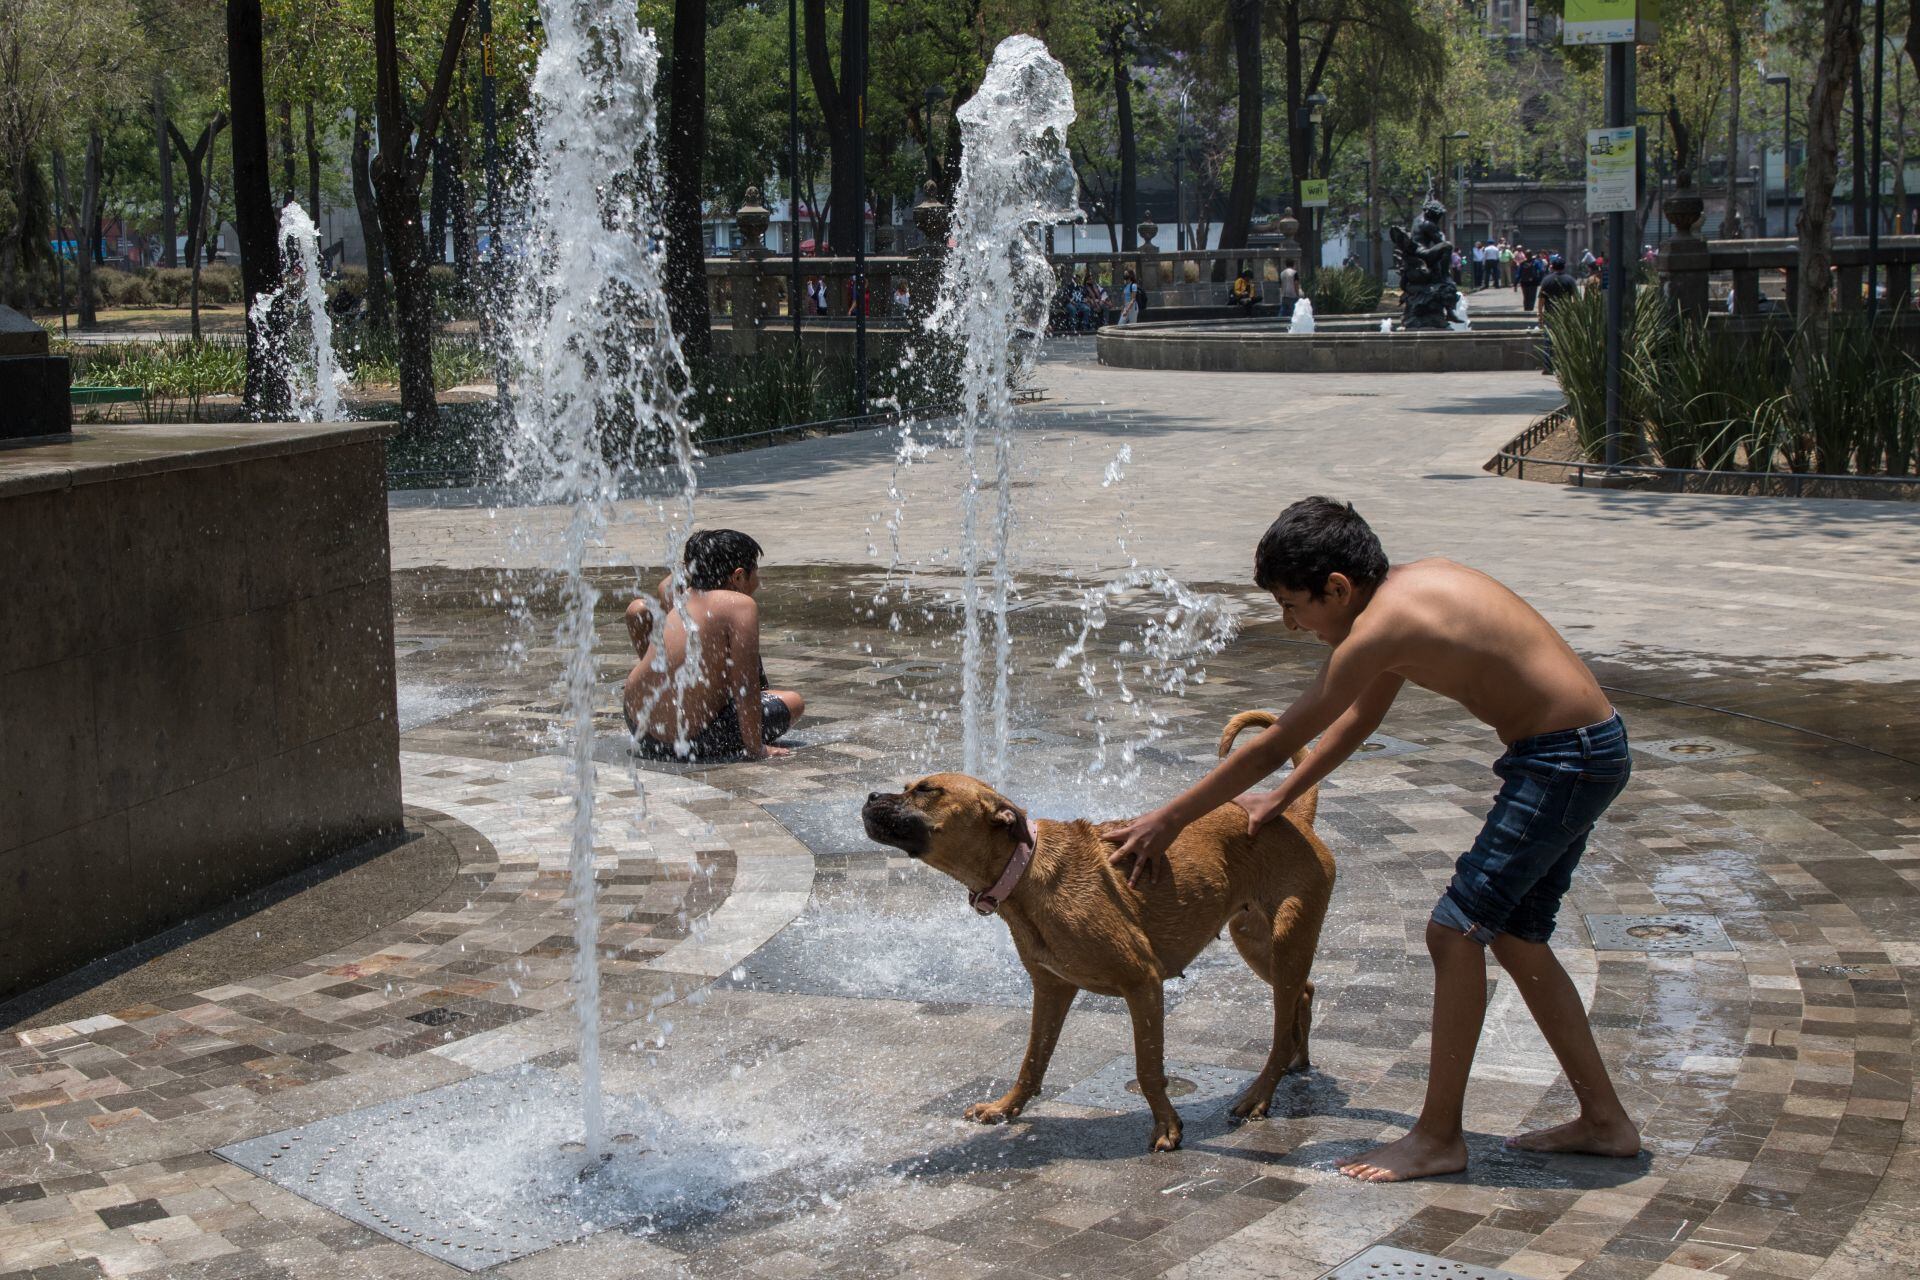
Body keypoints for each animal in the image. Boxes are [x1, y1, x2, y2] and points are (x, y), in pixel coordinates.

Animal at [867, 710, 1336, 1151]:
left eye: (927, 790)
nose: (870, 795)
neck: (1025, 871)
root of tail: (1294, 815)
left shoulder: (1143, 983)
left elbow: (1148, 1068)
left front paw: (1166, 1126)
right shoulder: (1051, 987)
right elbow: (1032, 1059)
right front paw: (1006, 1107)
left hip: (1286, 939)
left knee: (1280, 1027)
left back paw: (1260, 1093)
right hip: (1256, 942)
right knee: (1303, 993)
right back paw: (1297, 1060)